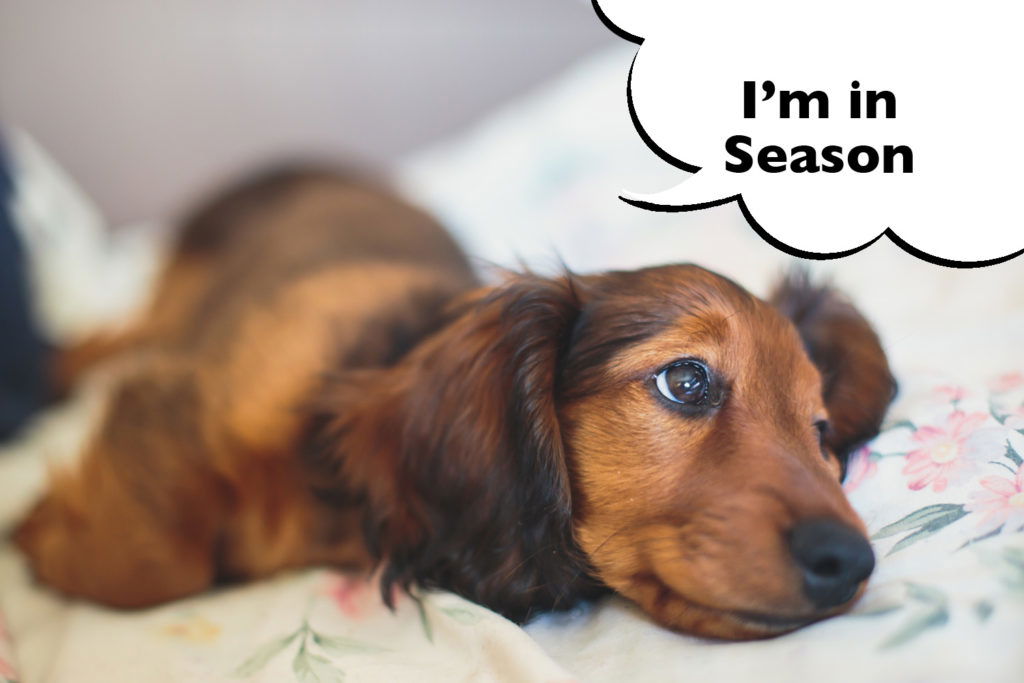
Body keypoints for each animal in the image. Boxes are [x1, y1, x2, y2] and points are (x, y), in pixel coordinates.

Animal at [13, 168, 894, 640]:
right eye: (687, 380)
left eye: (820, 431)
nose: (851, 561)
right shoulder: (182, 399)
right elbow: (153, 562)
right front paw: (45, 528)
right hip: (183, 293)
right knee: (117, 333)